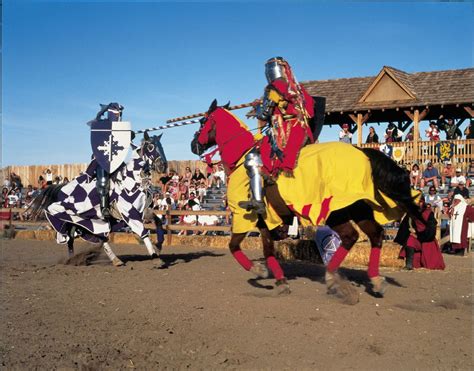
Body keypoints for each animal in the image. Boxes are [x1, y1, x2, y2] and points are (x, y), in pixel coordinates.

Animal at [30, 132, 168, 266]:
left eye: (161, 146)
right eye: (150, 147)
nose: (163, 166)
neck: (133, 180)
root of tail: (62, 188)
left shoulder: (143, 211)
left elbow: (158, 221)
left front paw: (159, 246)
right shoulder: (130, 214)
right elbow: (143, 232)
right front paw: (155, 257)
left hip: (90, 221)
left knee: (95, 238)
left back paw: (113, 260)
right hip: (72, 217)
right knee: (72, 237)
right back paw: (74, 260)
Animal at [191, 100, 420, 300]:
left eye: (203, 122)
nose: (194, 145)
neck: (241, 157)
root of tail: (362, 153)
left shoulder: (245, 217)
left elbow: (233, 247)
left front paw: (258, 270)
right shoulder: (265, 222)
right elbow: (268, 250)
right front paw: (281, 282)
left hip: (335, 211)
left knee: (350, 236)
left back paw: (332, 277)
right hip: (357, 207)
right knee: (375, 234)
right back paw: (375, 280)